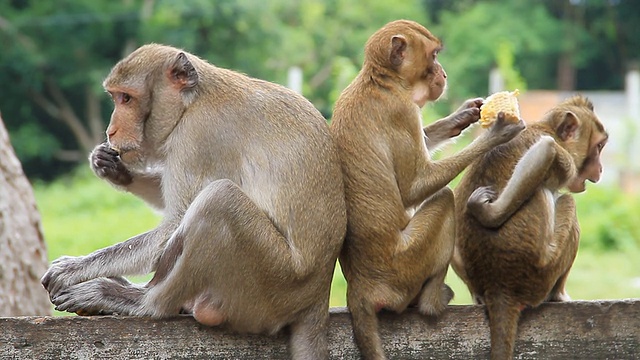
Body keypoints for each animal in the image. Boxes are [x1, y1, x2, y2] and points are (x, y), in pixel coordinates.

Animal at [40, 43, 348, 358]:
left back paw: (141, 301)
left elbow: (173, 224)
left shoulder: (198, 138)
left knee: (218, 200)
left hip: (274, 283)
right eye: (115, 97)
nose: (111, 130)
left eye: (126, 98)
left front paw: (73, 268)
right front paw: (114, 169)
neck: (191, 103)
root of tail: (316, 299)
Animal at [330, 20, 524, 360]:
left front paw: (463, 115)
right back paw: (432, 303)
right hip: (406, 264)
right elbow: (413, 187)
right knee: (444, 198)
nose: (443, 74)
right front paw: (497, 134)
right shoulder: (402, 111)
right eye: (433, 55)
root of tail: (361, 288)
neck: (383, 82)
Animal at [452, 95, 608, 360]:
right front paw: (488, 213)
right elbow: (546, 150)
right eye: (598, 147)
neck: (547, 127)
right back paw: (558, 295)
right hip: (541, 271)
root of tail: (499, 287)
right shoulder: (564, 159)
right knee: (567, 202)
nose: (600, 168)